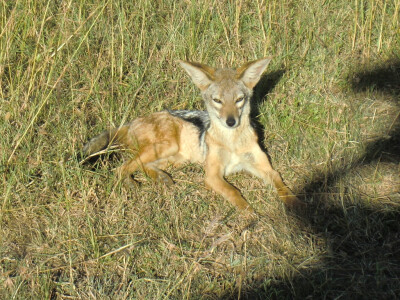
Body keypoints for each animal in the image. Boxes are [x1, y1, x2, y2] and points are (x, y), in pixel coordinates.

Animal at [84, 58, 304, 213]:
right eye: (217, 101)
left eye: (239, 99)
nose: (230, 121)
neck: (232, 141)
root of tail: (130, 122)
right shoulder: (212, 175)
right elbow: (234, 192)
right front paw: (249, 213)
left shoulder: (267, 169)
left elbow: (283, 186)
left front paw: (297, 205)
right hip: (166, 147)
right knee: (122, 168)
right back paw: (132, 182)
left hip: (177, 158)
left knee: (142, 166)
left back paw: (162, 178)